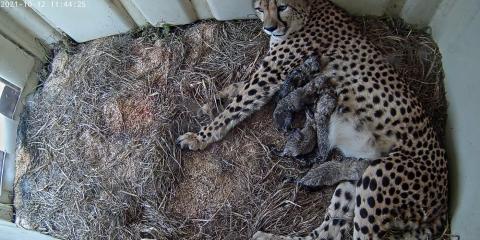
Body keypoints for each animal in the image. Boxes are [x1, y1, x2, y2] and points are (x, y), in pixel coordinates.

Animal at [175, 0, 446, 239]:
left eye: (282, 6)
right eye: (260, 8)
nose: (269, 28)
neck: (309, 10)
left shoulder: (271, 75)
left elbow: (238, 104)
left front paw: (200, 136)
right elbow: (237, 88)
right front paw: (210, 103)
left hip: (379, 177)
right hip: (355, 178)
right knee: (328, 232)